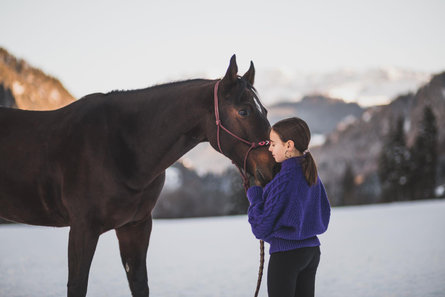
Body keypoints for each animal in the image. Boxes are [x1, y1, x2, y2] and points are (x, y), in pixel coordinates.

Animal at [0, 55, 276, 296]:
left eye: (265, 110)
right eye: (244, 111)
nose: (274, 167)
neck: (120, 148)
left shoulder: (135, 226)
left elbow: (139, 285)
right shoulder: (82, 228)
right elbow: (78, 286)